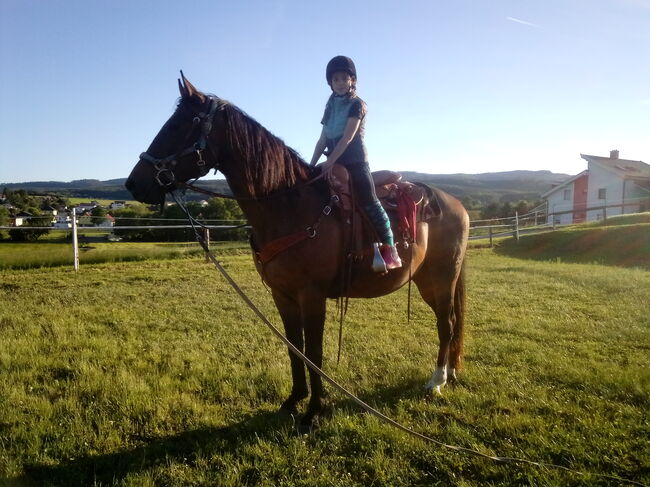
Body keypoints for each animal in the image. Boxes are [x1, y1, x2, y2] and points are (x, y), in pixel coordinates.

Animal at [124, 72, 468, 430]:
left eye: (180, 125)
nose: (134, 183)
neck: (290, 206)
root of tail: (452, 203)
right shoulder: (283, 294)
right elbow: (294, 347)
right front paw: (294, 400)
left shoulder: (312, 295)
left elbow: (314, 352)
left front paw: (314, 411)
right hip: (427, 280)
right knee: (450, 321)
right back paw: (450, 372)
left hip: (441, 278)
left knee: (446, 323)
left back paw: (437, 381)